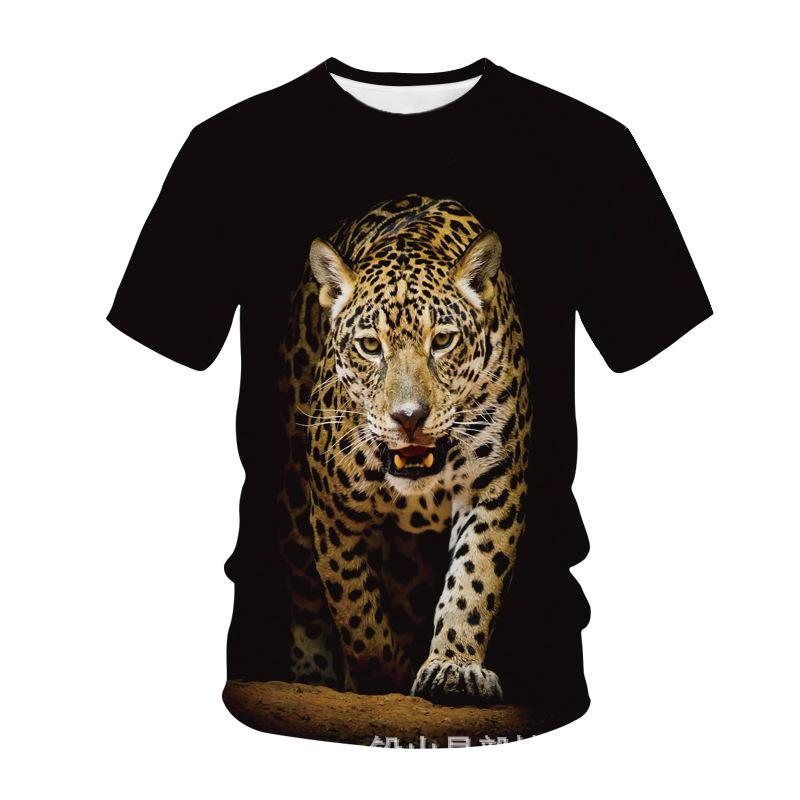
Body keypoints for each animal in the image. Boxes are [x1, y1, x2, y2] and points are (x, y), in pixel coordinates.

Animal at [277, 193, 532, 706]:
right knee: (306, 594)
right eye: (370, 346)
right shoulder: (332, 512)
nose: (409, 417)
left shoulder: (496, 488)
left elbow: (475, 578)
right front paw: (380, 678)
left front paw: (454, 668)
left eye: (443, 340)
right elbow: (355, 608)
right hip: (294, 500)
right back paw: (311, 672)